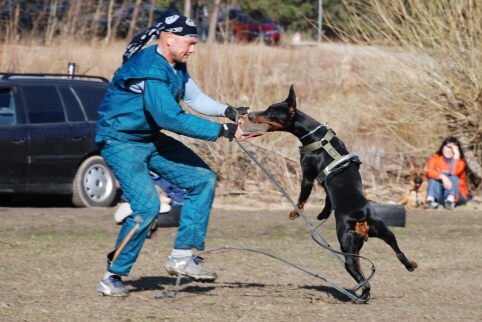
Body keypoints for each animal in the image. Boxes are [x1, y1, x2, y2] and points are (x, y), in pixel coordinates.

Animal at [249, 85, 418, 302]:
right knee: (398, 253)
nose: (250, 114)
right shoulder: (325, 186)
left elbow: (302, 198)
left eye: (271, 112)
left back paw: (359, 297)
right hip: (385, 231)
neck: (315, 136)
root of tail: (360, 216)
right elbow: (327, 202)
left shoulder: (308, 175)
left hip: (346, 247)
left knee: (362, 277)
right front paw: (322, 215)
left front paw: (295, 213)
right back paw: (410, 265)